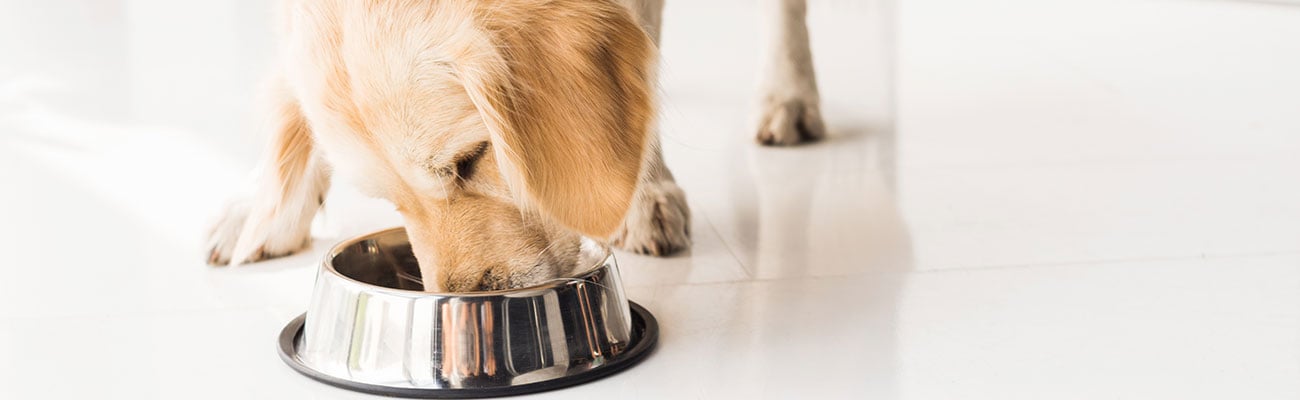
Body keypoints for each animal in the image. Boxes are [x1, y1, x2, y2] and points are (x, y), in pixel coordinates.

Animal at [209, 0, 826, 293]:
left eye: (470, 161)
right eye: (391, 203)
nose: (461, 299)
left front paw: (643, 192)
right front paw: (264, 206)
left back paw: (788, 92)